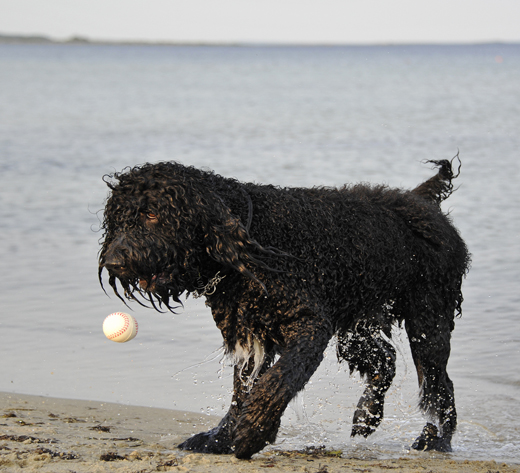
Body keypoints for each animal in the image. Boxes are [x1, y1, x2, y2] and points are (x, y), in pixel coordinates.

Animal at [98, 158, 472, 458]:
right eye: (118, 220)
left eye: (151, 213)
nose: (113, 261)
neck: (250, 242)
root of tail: (421, 200)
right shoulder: (249, 335)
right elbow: (242, 391)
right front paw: (221, 437)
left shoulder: (309, 325)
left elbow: (278, 381)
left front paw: (253, 431)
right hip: (357, 328)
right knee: (386, 360)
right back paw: (367, 414)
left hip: (428, 322)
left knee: (439, 386)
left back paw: (437, 440)